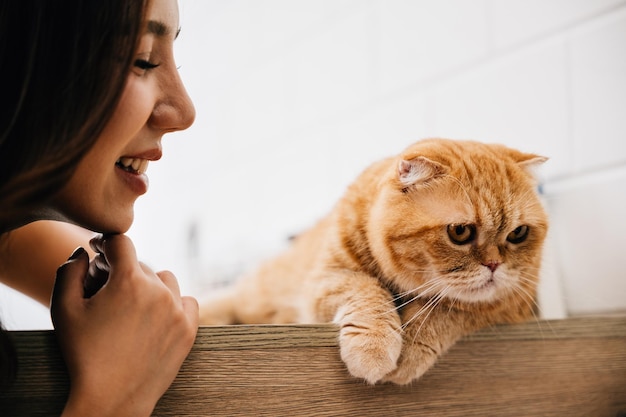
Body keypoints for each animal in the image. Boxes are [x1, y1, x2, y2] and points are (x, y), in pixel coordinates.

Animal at [200, 139, 544, 384]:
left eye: (518, 233)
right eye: (460, 232)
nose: (494, 265)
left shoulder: (515, 301)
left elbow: (448, 309)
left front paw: (412, 350)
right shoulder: (327, 279)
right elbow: (367, 291)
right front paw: (375, 346)